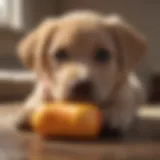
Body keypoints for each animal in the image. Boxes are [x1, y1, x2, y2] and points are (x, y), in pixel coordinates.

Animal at [15, 10, 147, 137]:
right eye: (59, 54)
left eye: (103, 54)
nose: (81, 86)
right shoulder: (44, 85)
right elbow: (37, 96)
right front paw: (29, 110)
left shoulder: (123, 91)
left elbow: (122, 103)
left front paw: (114, 113)